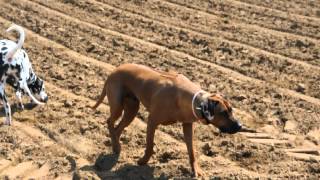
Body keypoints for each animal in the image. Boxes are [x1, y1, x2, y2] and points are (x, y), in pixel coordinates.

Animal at [91, 63, 241, 177]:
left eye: (231, 110)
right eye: (223, 113)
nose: (240, 126)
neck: (186, 98)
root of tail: (115, 69)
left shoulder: (188, 125)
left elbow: (191, 151)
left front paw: (196, 170)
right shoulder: (152, 121)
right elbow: (149, 146)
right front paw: (143, 162)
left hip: (131, 110)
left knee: (118, 128)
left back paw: (116, 146)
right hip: (117, 105)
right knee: (109, 122)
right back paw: (116, 146)